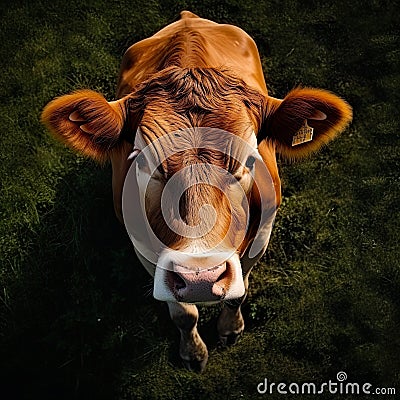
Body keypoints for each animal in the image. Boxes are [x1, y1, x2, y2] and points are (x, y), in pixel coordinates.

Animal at [41, 10, 354, 372]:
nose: (200, 278)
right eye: (143, 160)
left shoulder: (261, 238)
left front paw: (230, 331)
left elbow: (239, 291)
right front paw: (194, 353)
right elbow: (182, 314)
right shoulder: (143, 250)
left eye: (249, 158)